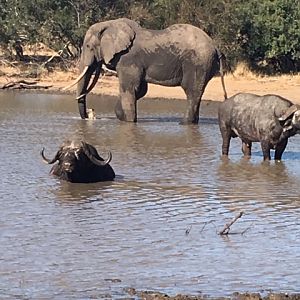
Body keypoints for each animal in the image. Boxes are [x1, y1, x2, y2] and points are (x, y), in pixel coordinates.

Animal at [64, 17, 226, 123]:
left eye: (88, 47)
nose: (88, 115)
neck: (110, 24)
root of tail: (215, 46)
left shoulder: (127, 59)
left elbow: (129, 88)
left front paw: (129, 122)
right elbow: (140, 90)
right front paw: (121, 116)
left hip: (197, 63)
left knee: (191, 91)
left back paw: (183, 123)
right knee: (196, 93)